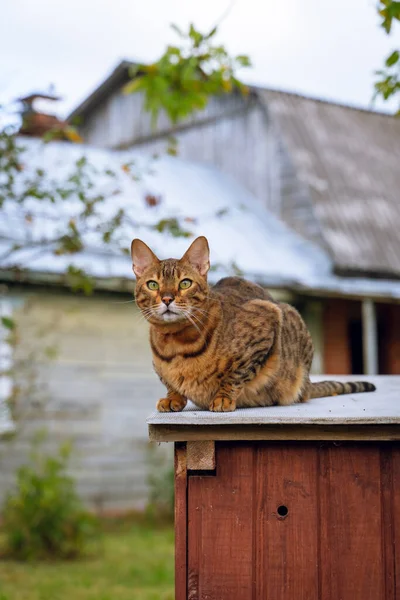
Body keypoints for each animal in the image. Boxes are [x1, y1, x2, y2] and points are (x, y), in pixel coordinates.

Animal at [130, 234, 376, 412]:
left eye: (185, 283)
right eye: (153, 285)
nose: (167, 299)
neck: (175, 343)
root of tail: (307, 384)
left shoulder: (267, 322)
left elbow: (237, 374)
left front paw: (222, 397)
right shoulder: (159, 368)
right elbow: (170, 382)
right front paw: (173, 398)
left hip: (291, 319)